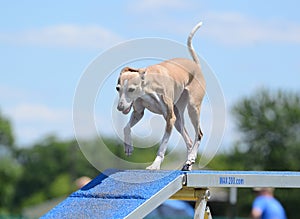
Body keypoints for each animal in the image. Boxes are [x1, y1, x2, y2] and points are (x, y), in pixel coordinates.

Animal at [116, 22, 205, 170]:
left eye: (131, 89)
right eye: (117, 88)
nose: (120, 107)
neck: (148, 86)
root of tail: (196, 65)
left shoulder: (169, 118)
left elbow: (162, 145)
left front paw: (155, 165)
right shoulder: (138, 112)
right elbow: (126, 127)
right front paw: (128, 147)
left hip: (192, 108)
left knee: (198, 134)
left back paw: (192, 157)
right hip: (179, 118)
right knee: (188, 140)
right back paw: (188, 163)